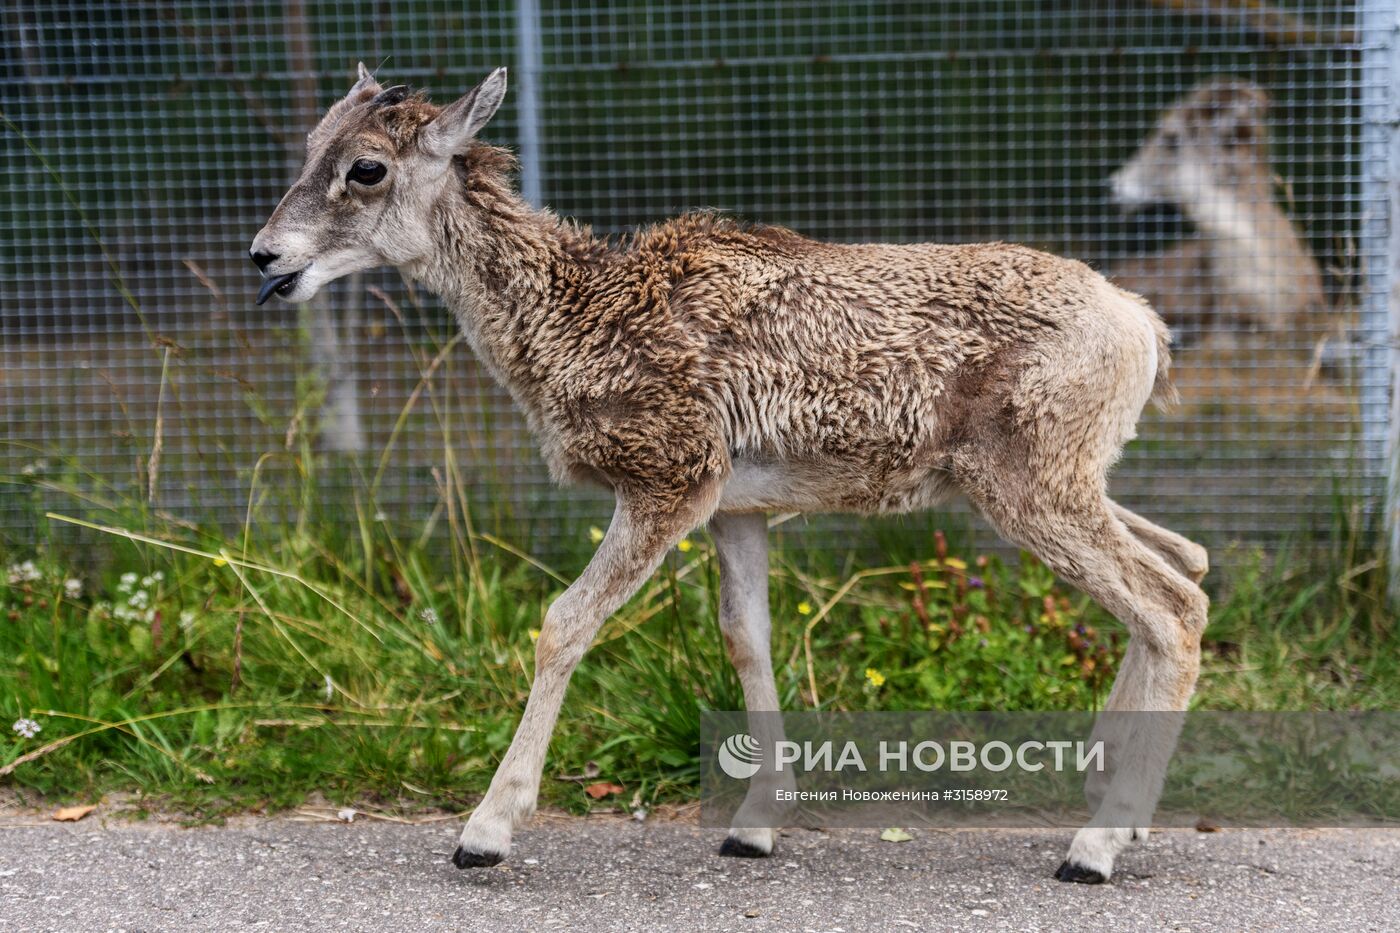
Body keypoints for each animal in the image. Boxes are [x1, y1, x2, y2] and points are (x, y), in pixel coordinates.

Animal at [254, 63, 1215, 879]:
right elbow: (746, 638)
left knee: (1171, 605)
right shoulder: (734, 508)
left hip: (1030, 485)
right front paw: (753, 827)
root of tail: (1143, 326)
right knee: (1188, 565)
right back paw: (1116, 804)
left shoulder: (668, 478)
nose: (267, 254)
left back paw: (1094, 846)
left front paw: (484, 831)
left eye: (367, 167)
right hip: (1061, 479)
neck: (575, 319)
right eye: (310, 143)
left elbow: (564, 622)